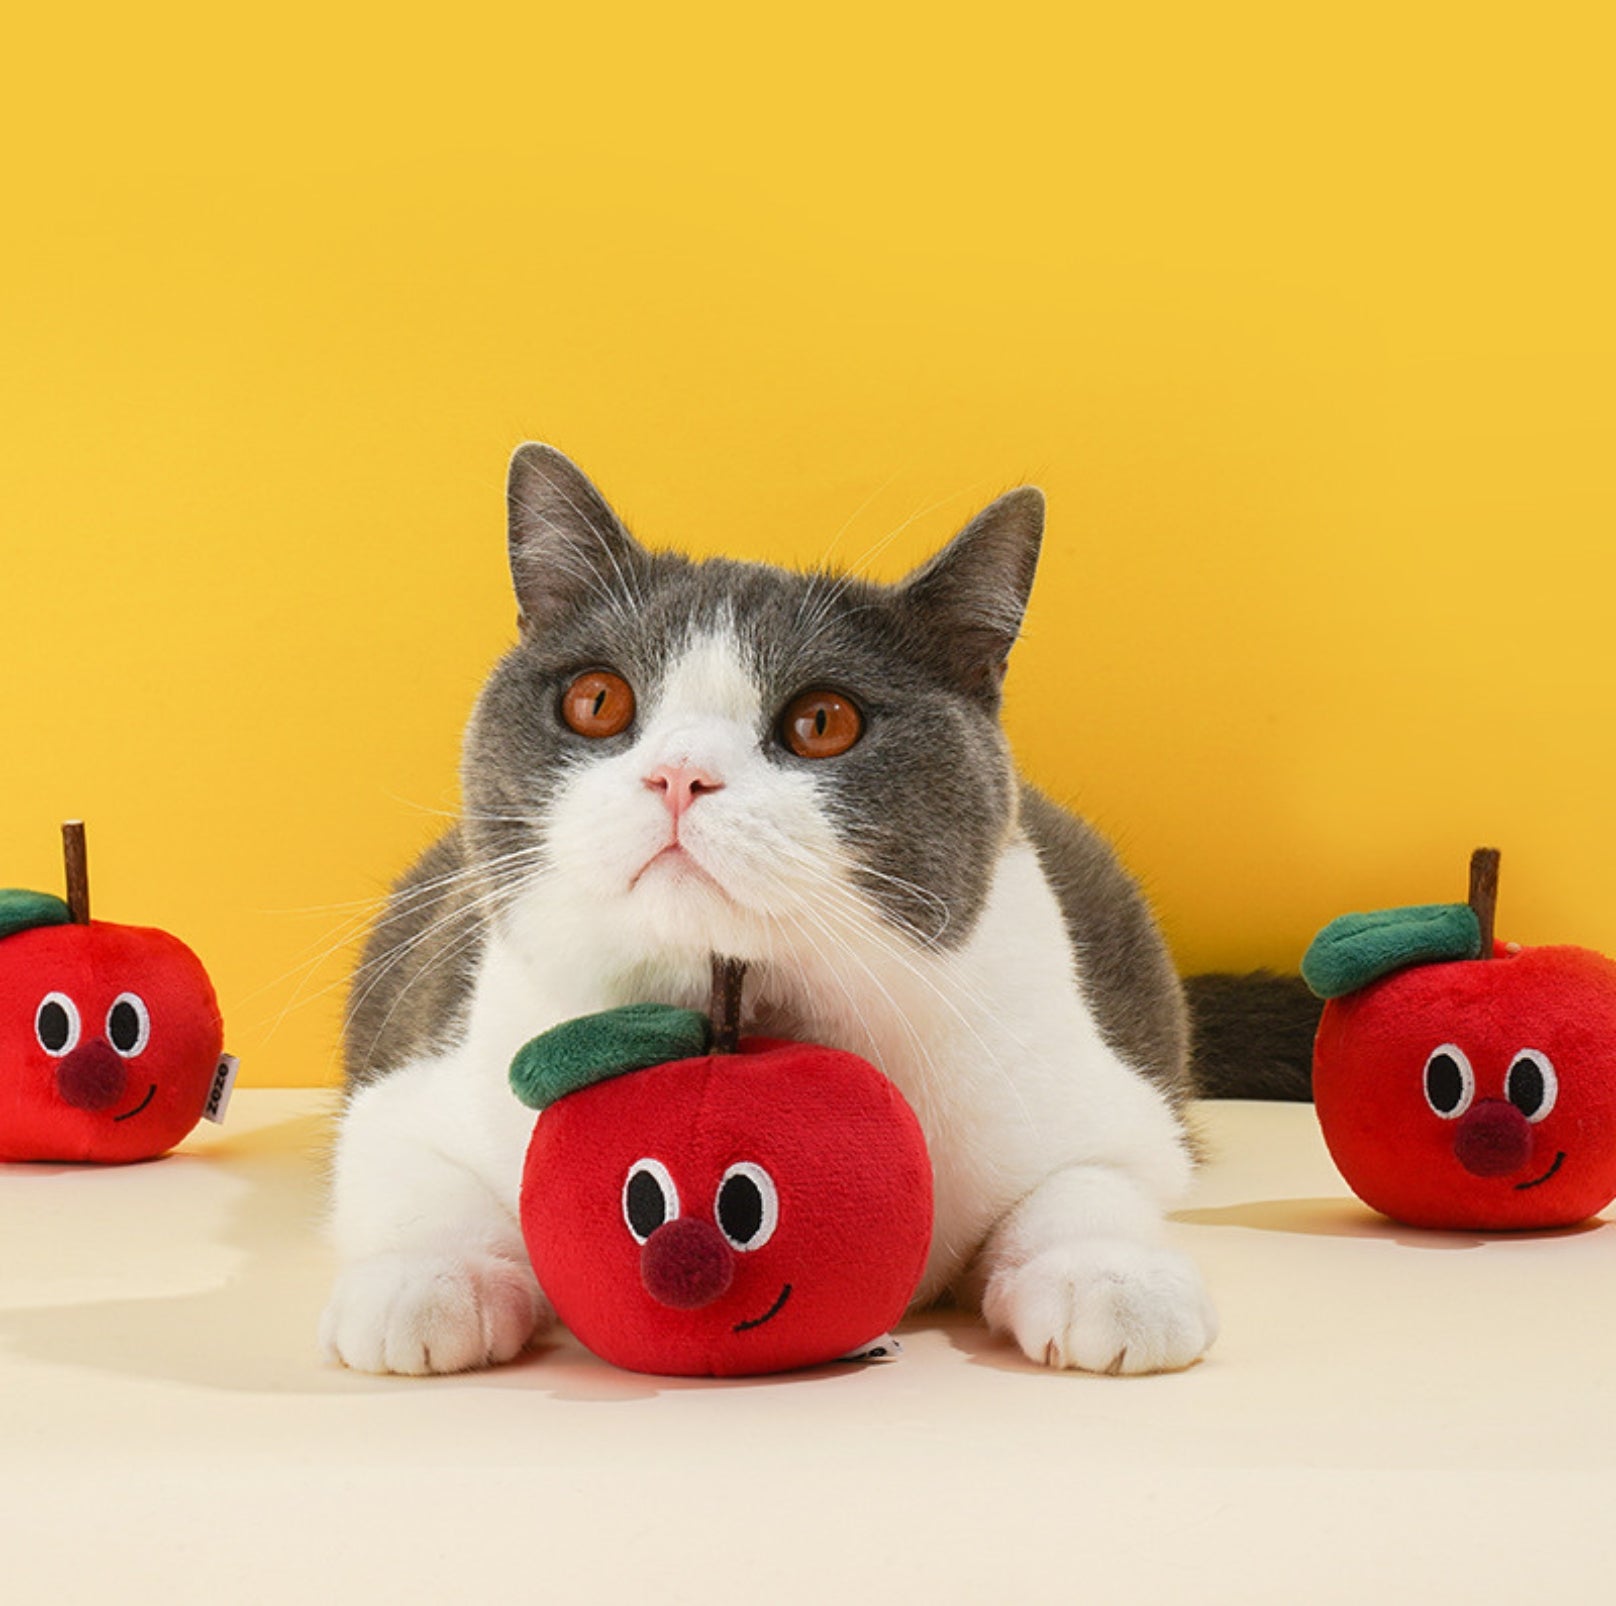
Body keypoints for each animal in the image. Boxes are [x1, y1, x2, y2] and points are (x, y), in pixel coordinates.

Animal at [318, 442, 1312, 1376]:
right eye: (597, 700)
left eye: (822, 722)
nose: (679, 776)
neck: (742, 1009)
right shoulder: (414, 1082)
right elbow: (415, 1176)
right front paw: (429, 1282)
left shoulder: (1112, 1101)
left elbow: (1090, 1180)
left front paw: (1107, 1276)